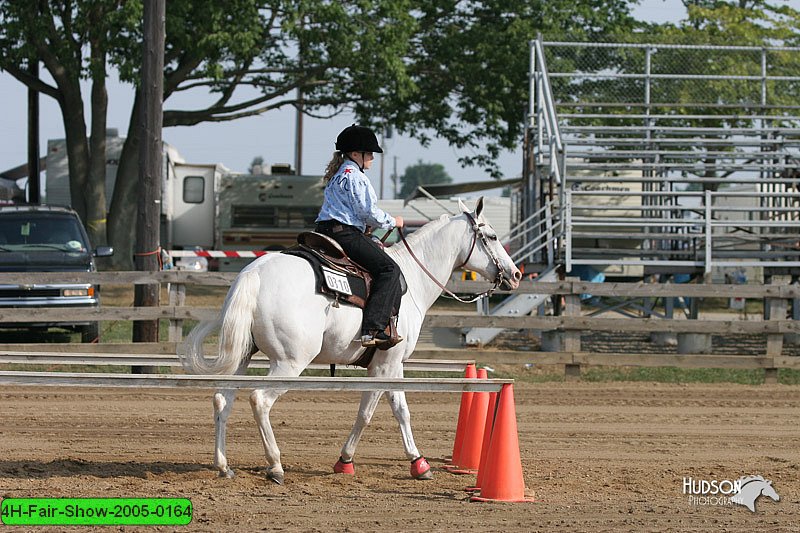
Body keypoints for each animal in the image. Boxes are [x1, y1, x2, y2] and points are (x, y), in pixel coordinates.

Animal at [178, 197, 520, 484]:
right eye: (491, 237)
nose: (515, 274)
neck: (411, 278)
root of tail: (255, 273)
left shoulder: (390, 365)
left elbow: (398, 409)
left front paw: (413, 463)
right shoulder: (385, 366)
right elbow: (371, 413)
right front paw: (352, 461)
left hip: (243, 357)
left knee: (223, 399)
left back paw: (223, 466)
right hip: (289, 362)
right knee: (259, 400)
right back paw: (275, 466)